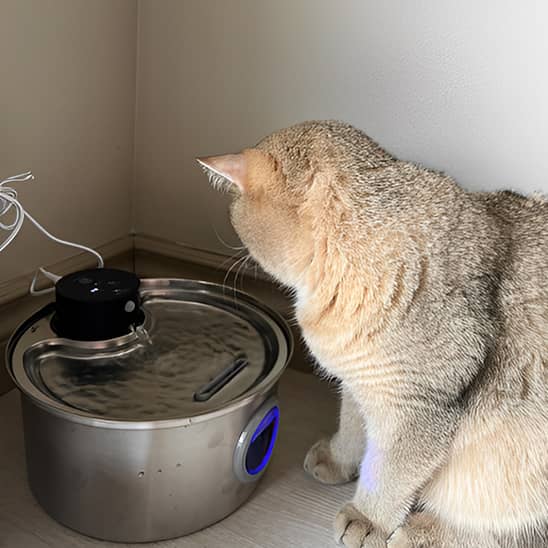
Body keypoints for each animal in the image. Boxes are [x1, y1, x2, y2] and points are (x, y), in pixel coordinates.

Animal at [198, 121, 548, 548]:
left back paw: (424, 530)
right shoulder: (357, 382)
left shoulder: (417, 406)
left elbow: (390, 473)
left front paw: (368, 517)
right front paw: (338, 459)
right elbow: (353, 428)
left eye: (235, 213)